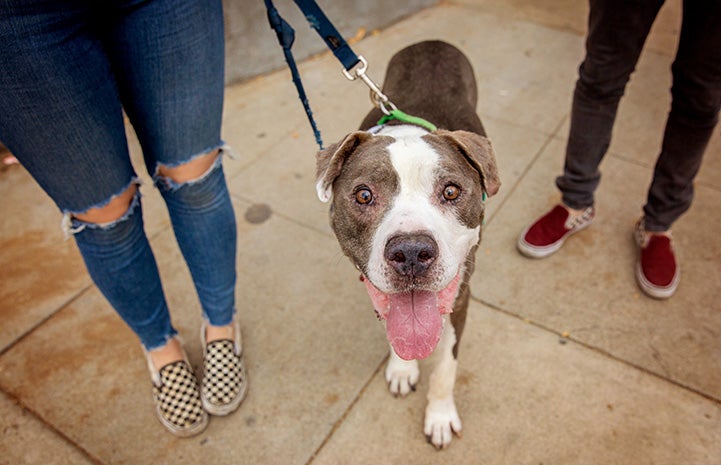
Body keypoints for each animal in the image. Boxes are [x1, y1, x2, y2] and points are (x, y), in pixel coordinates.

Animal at [316, 41, 500, 448]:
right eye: (364, 195)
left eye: (451, 191)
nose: (412, 252)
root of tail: (432, 41)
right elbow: (395, 326)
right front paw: (402, 368)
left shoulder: (460, 297)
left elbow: (445, 366)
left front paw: (440, 416)